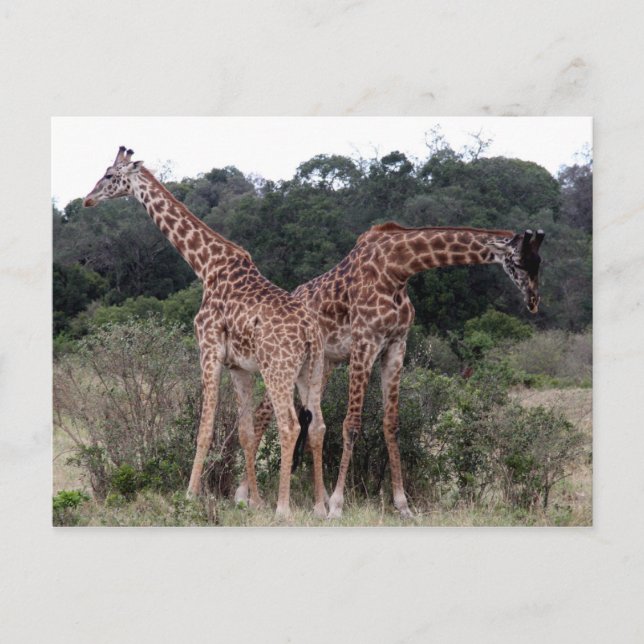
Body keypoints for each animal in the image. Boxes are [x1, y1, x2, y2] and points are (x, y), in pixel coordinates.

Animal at [83, 147, 328, 519]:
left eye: (110, 176)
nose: (87, 199)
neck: (206, 266)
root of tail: (309, 331)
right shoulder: (240, 367)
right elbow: (244, 432)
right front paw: (253, 501)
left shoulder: (209, 350)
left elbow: (205, 428)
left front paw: (189, 495)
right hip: (310, 371)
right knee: (317, 426)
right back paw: (320, 507)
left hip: (278, 370)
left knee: (289, 425)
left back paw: (283, 509)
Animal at [238, 222, 545, 518]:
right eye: (518, 262)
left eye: (539, 262)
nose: (533, 301)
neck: (398, 269)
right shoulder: (365, 342)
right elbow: (351, 424)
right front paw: (337, 505)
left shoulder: (396, 346)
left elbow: (392, 424)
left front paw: (402, 505)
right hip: (290, 362)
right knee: (263, 413)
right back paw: (247, 496)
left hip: (322, 366)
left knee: (300, 418)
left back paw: (306, 498)